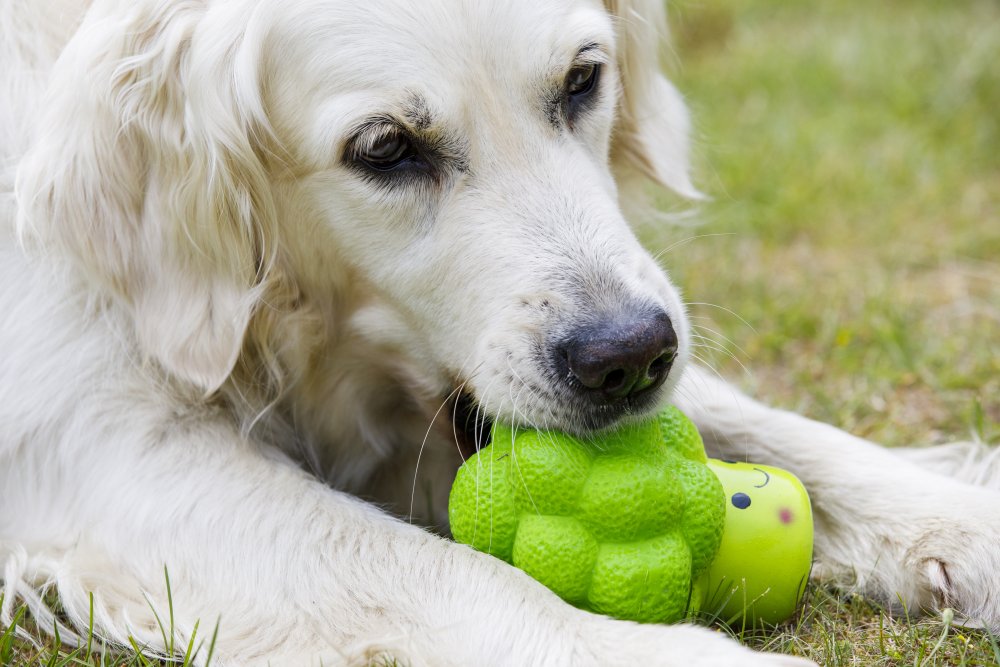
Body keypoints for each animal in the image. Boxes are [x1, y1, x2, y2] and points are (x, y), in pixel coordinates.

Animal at [1, 0, 1000, 664]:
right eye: (385, 148)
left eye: (584, 79)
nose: (630, 357)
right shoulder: (116, 452)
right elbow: (447, 575)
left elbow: (793, 439)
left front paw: (966, 524)